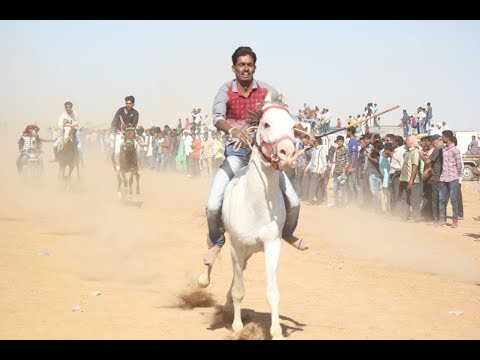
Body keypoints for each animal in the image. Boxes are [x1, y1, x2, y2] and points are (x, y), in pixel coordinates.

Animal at [199, 97, 296, 338]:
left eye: (293, 126)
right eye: (266, 124)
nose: (288, 154)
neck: (255, 204)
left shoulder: (272, 245)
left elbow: (272, 292)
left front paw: (276, 331)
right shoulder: (236, 245)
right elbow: (239, 290)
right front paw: (237, 326)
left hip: (250, 251)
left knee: (240, 270)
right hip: (218, 232)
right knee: (213, 251)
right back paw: (204, 280)